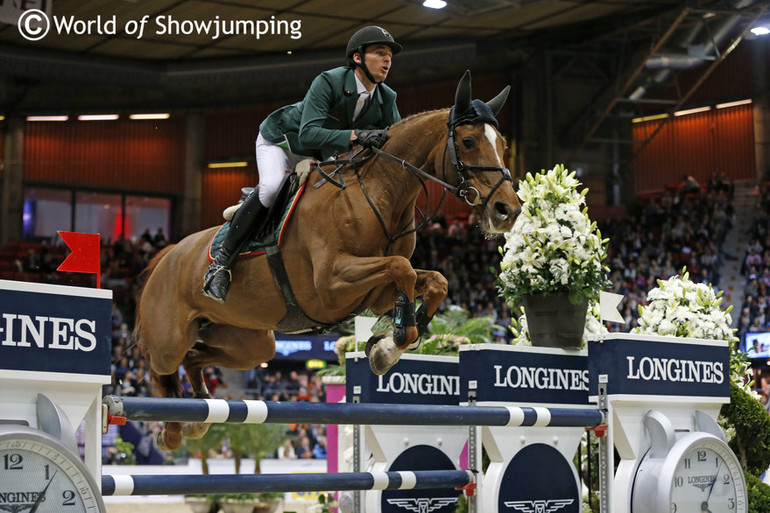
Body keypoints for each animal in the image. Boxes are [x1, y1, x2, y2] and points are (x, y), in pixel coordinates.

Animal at [136, 71, 520, 448]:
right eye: (468, 142)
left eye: (503, 145)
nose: (508, 211)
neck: (377, 195)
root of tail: (167, 255)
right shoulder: (332, 285)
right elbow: (403, 270)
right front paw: (391, 341)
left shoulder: (374, 293)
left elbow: (431, 281)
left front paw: (388, 345)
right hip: (170, 337)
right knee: (161, 366)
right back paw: (172, 428)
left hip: (249, 343)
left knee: (195, 357)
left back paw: (196, 417)